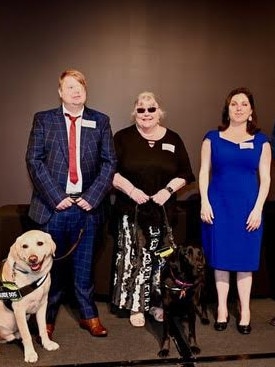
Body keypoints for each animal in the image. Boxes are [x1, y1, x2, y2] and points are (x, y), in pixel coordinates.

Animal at [0, 231, 60, 364]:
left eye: (40, 243)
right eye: (24, 246)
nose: (33, 259)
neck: (33, 277)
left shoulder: (43, 305)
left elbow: (43, 328)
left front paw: (47, 344)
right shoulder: (19, 310)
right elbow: (27, 335)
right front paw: (30, 354)